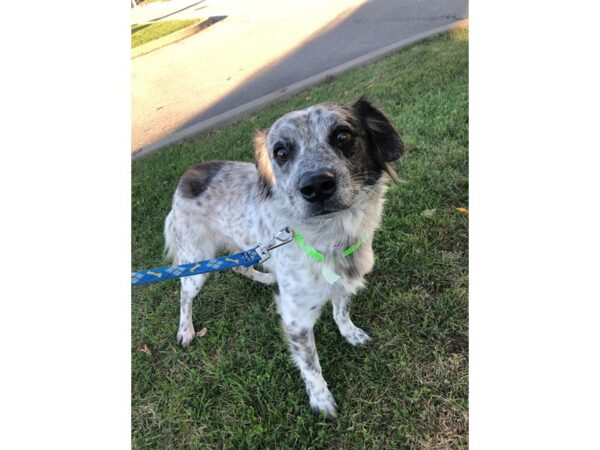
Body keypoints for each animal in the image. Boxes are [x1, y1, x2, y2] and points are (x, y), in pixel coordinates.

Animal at [164, 98, 404, 418]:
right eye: (281, 152)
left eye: (342, 135)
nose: (316, 186)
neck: (332, 236)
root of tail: (187, 177)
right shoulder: (296, 319)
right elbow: (311, 365)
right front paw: (321, 400)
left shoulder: (343, 282)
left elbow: (341, 312)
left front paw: (350, 334)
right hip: (197, 262)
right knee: (184, 295)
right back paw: (186, 330)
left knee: (240, 267)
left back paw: (264, 277)